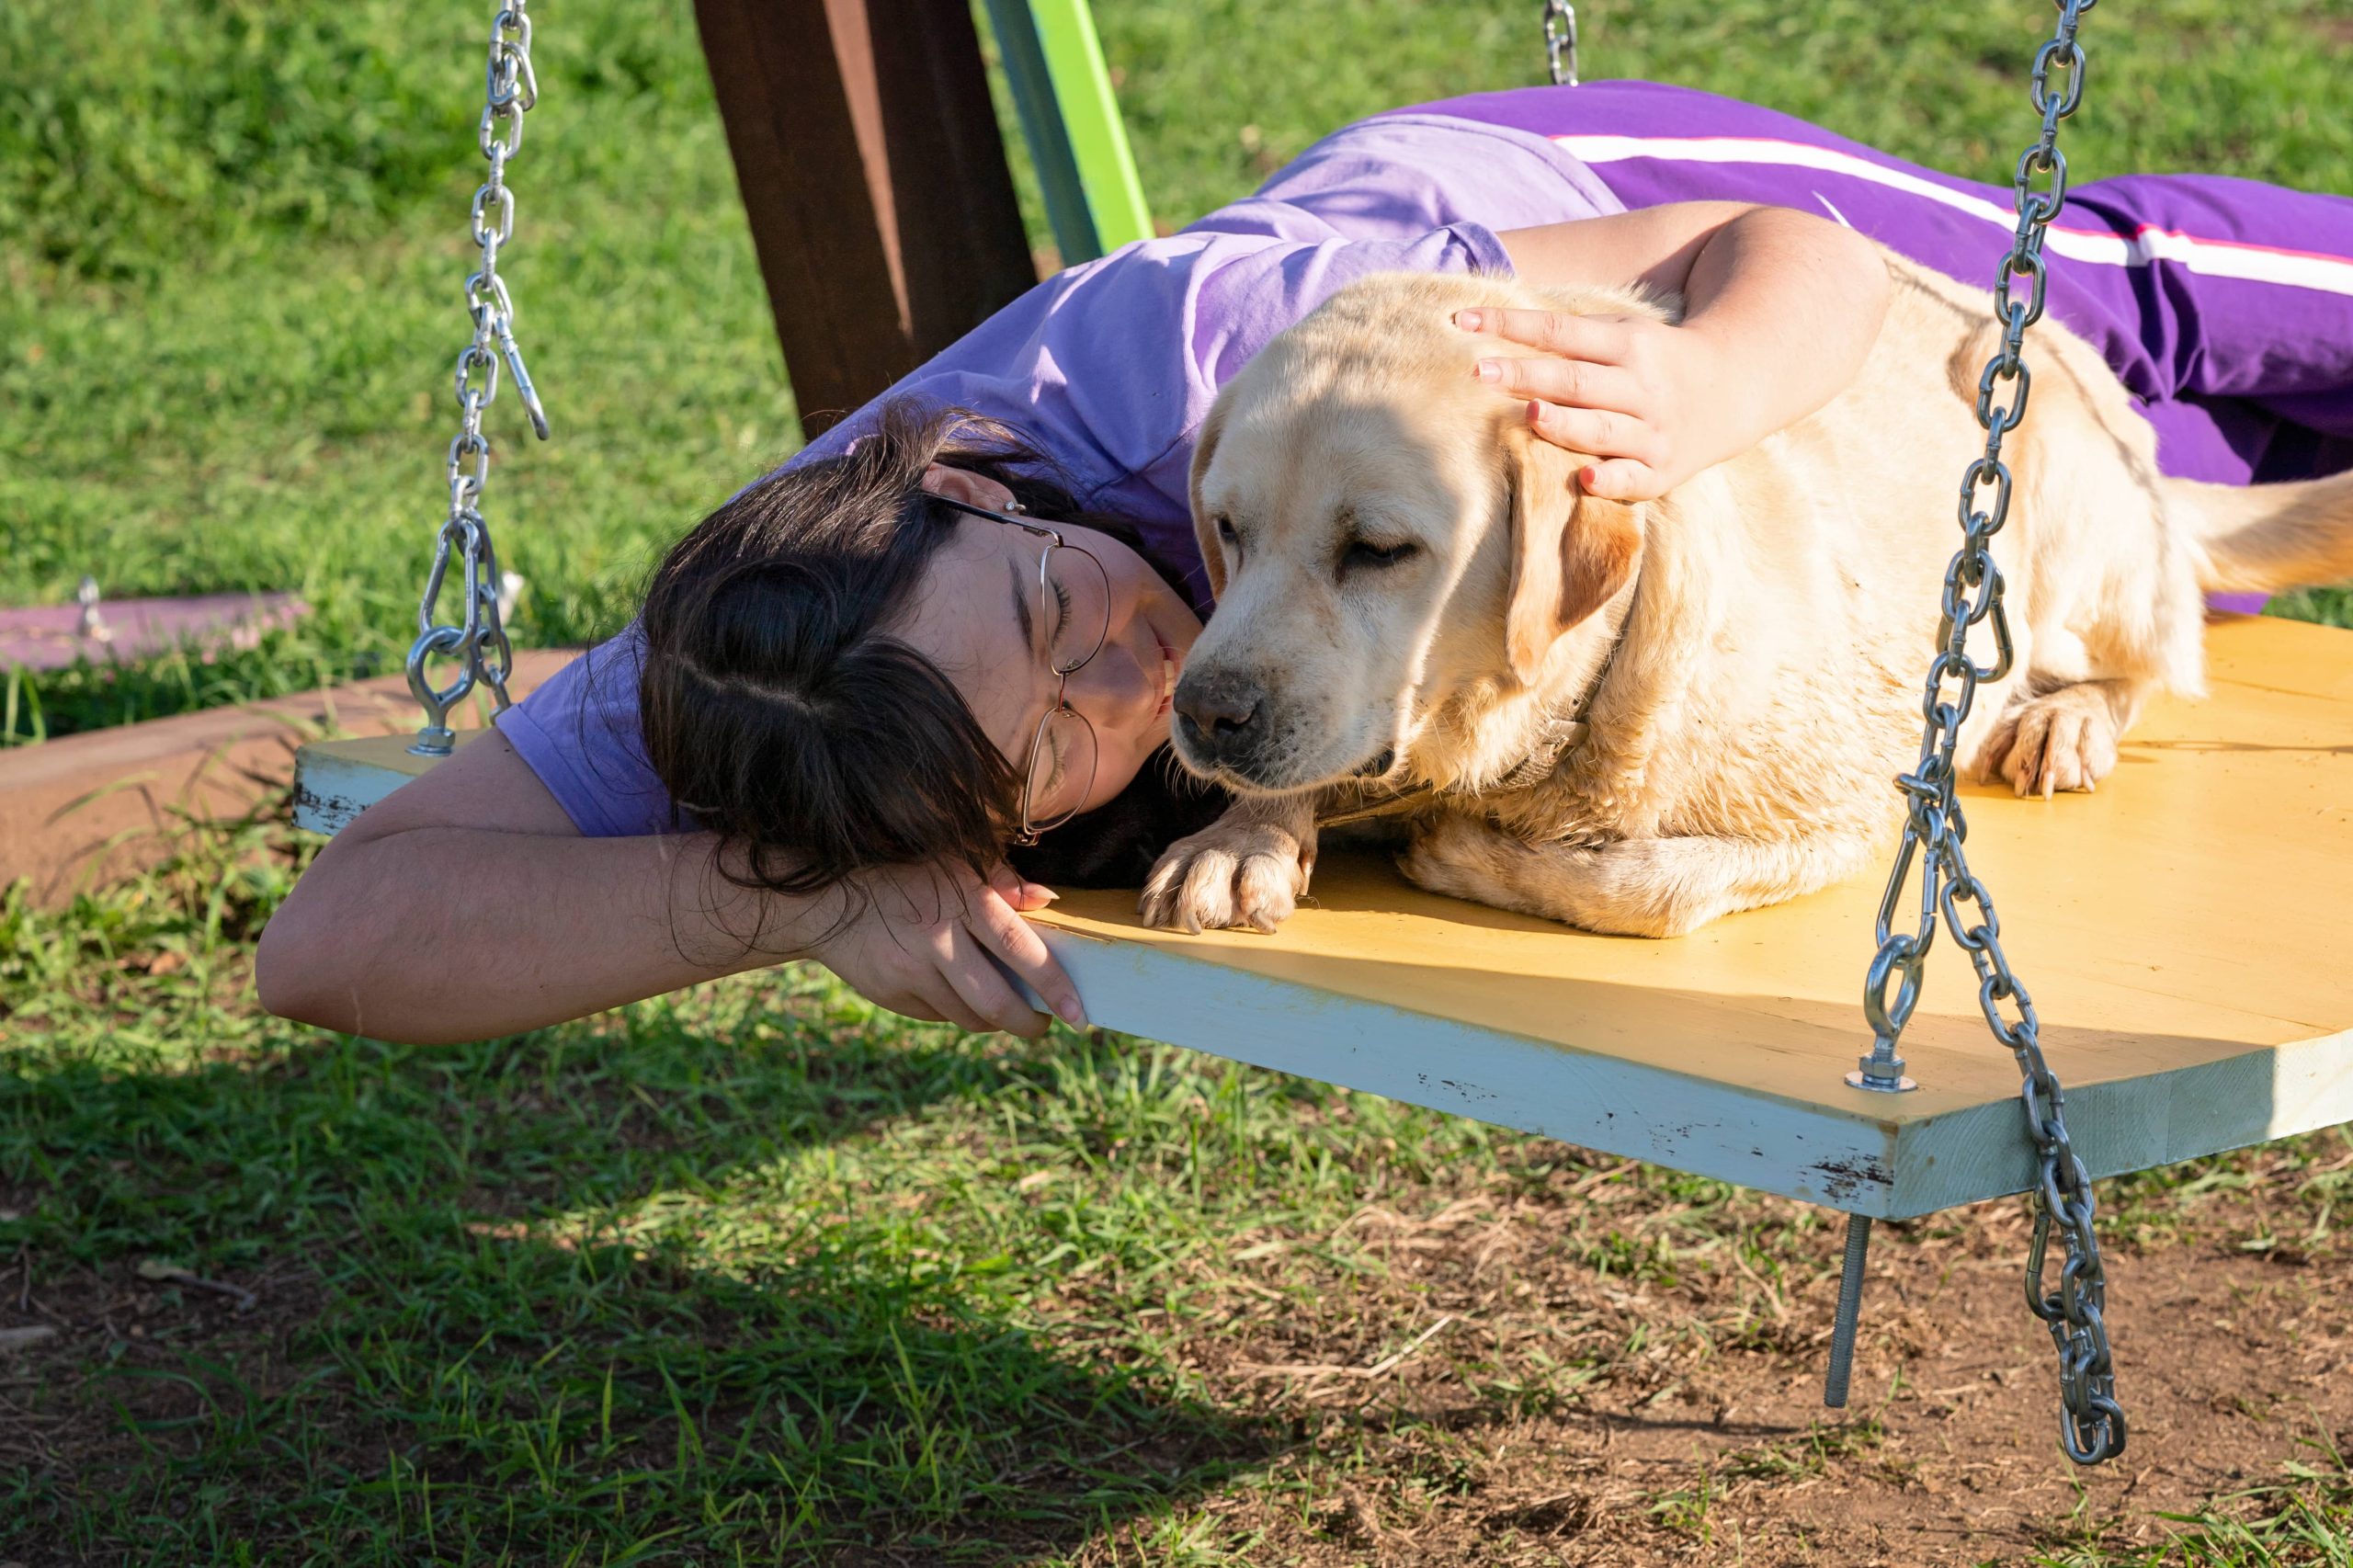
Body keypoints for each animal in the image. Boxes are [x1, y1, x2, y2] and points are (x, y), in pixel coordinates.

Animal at [1148, 256, 2353, 932]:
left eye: (1379, 549)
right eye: (1227, 530)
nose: (1203, 712)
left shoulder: (1850, 813)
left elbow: (1652, 888)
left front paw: (1466, 856)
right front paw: (1241, 839)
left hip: (2061, 486)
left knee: (2152, 657)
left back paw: (2066, 717)